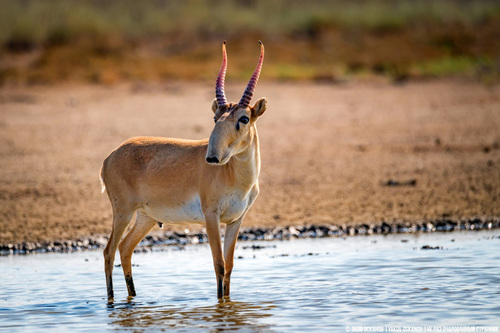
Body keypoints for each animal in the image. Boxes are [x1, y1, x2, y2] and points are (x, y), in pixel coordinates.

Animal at [99, 40, 268, 300]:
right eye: (215, 117)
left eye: (244, 118)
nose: (212, 157)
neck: (235, 177)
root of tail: (110, 157)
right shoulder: (211, 216)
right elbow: (218, 264)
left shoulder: (236, 220)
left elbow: (229, 266)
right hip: (123, 212)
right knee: (109, 251)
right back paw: (112, 300)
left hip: (146, 217)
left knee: (125, 248)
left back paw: (133, 297)